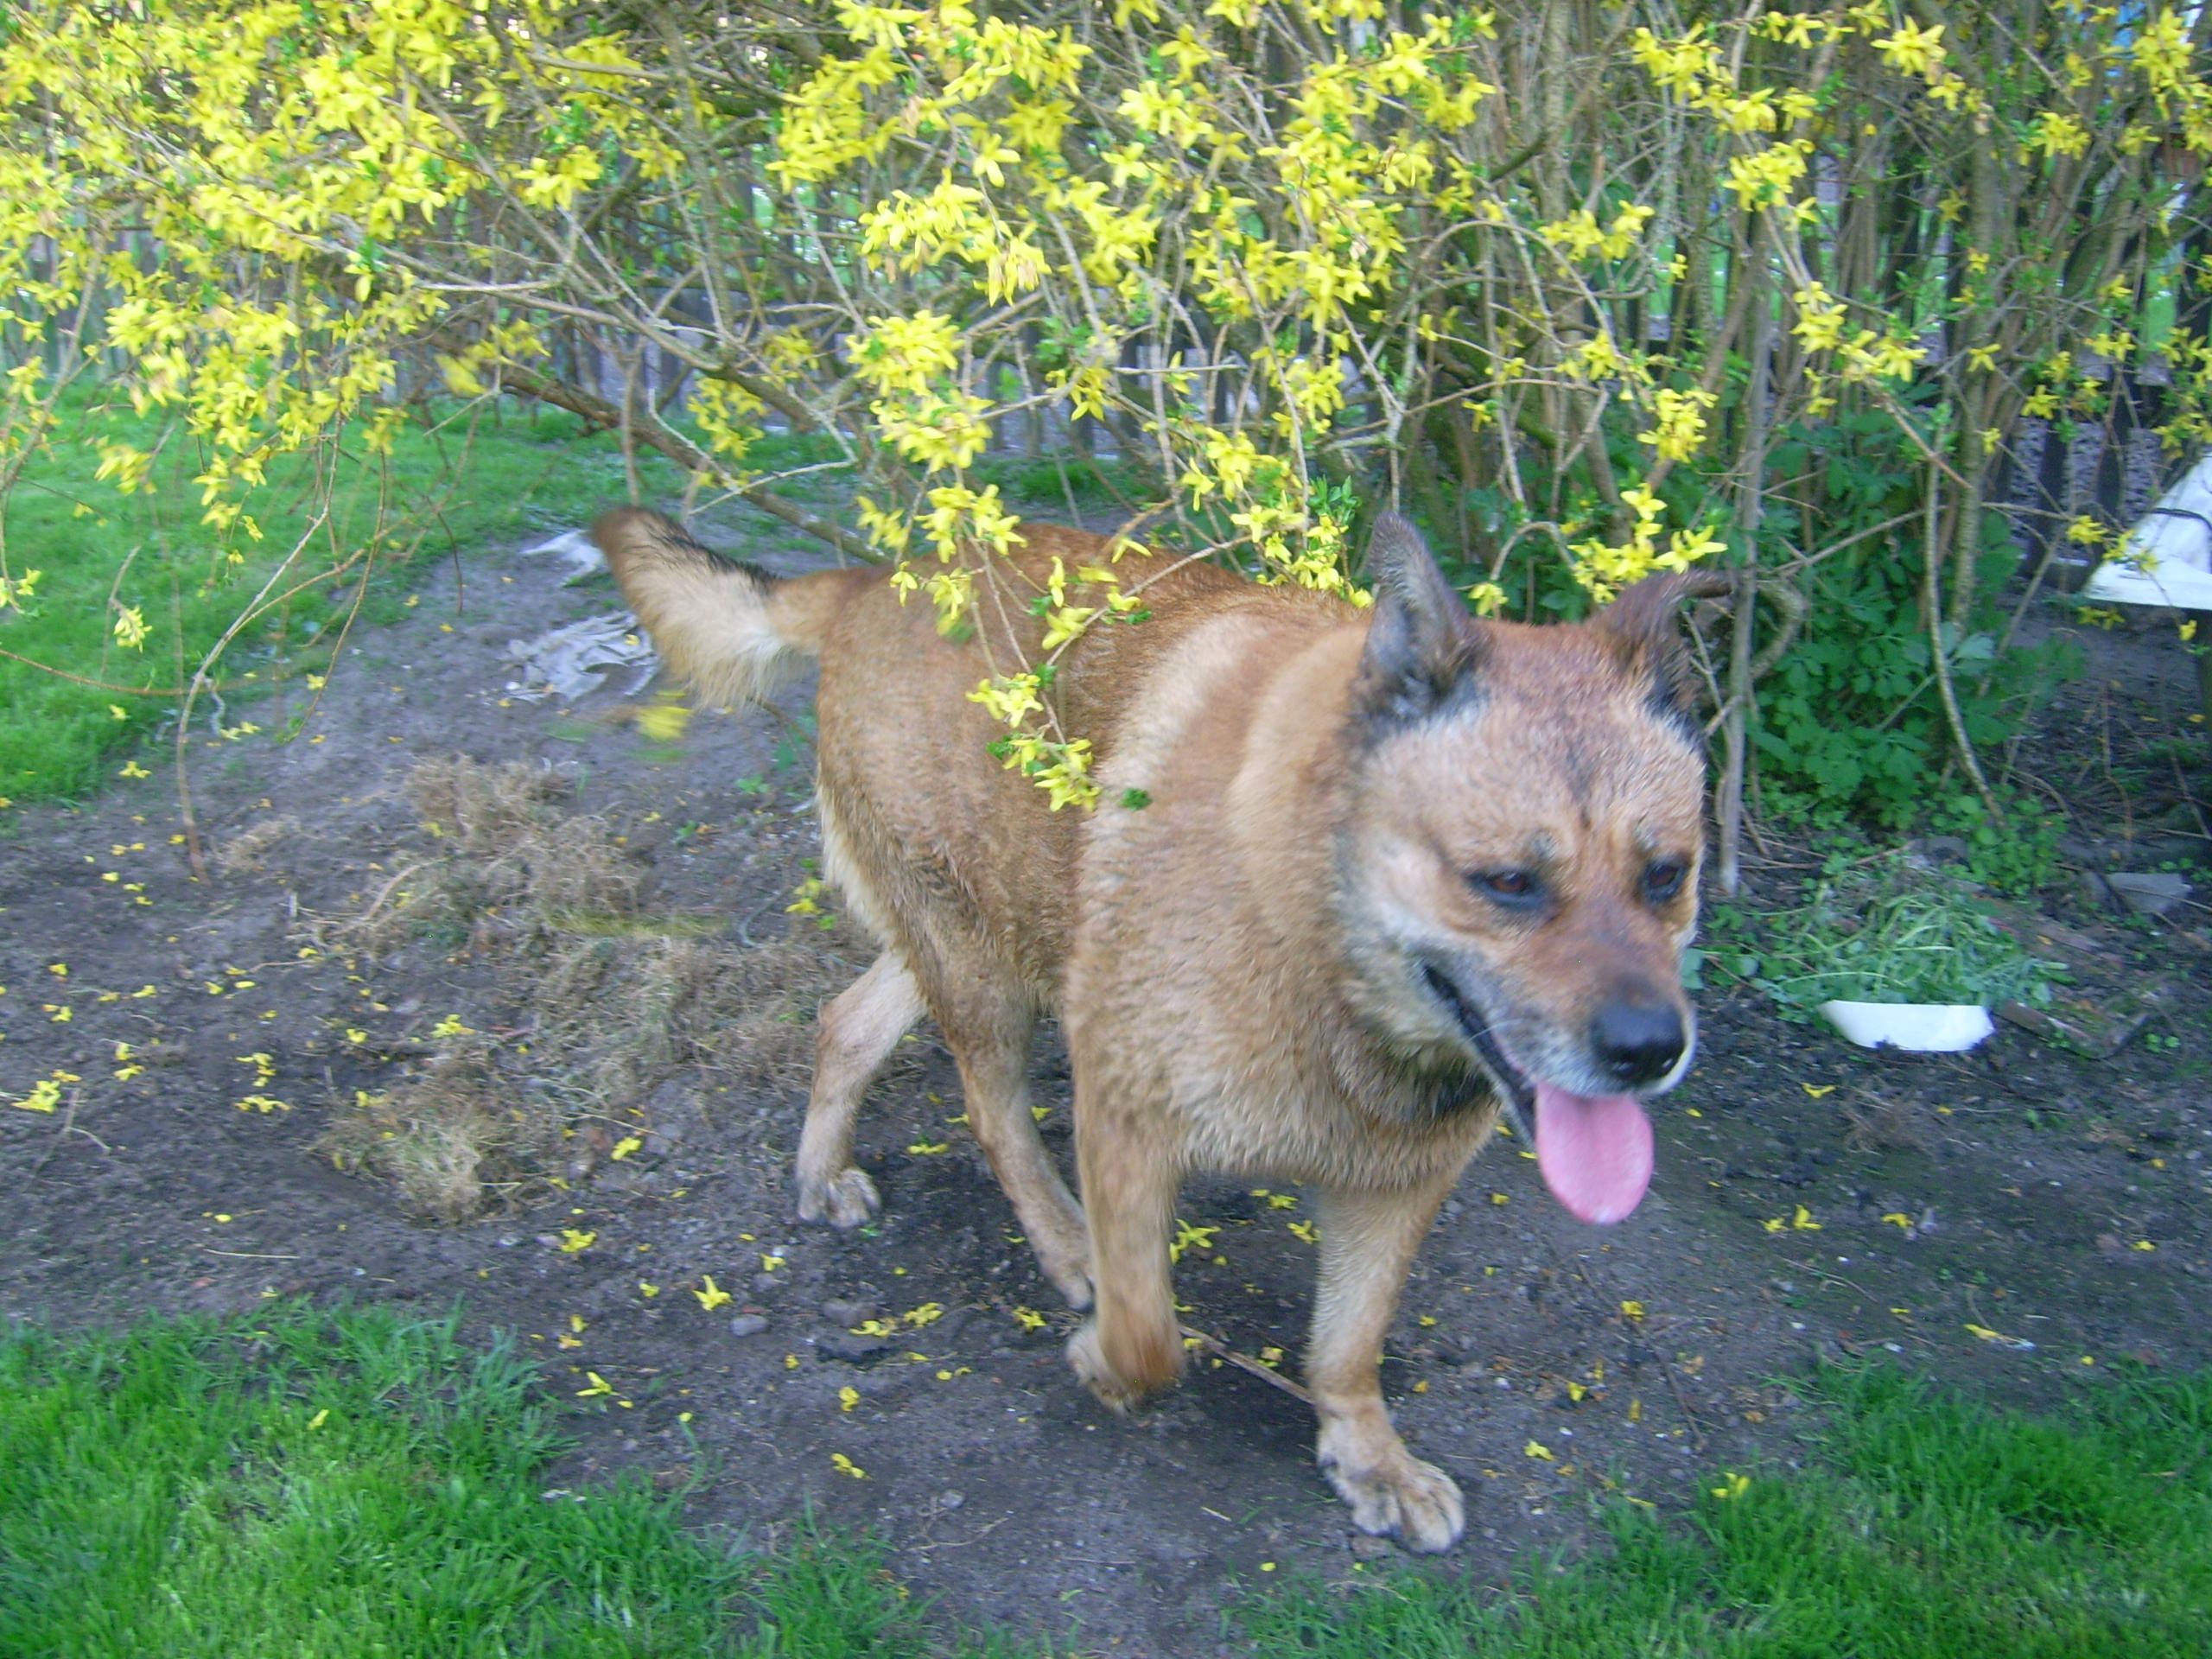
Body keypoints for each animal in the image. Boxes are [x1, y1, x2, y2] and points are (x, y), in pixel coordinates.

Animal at [601, 511, 1707, 1557]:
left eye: (1667, 875)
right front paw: (1104, 1359)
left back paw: (822, 1167)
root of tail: (876, 579)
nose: (1650, 1052)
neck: (1313, 937)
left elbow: (1347, 1347)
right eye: (1507, 882)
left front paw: (1367, 1456)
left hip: (987, 941)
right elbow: (1148, 1339)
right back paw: (1060, 1239)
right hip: (989, 975)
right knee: (993, 1117)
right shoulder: (1126, 1123)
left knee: (844, 1024)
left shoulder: (1396, 1187)